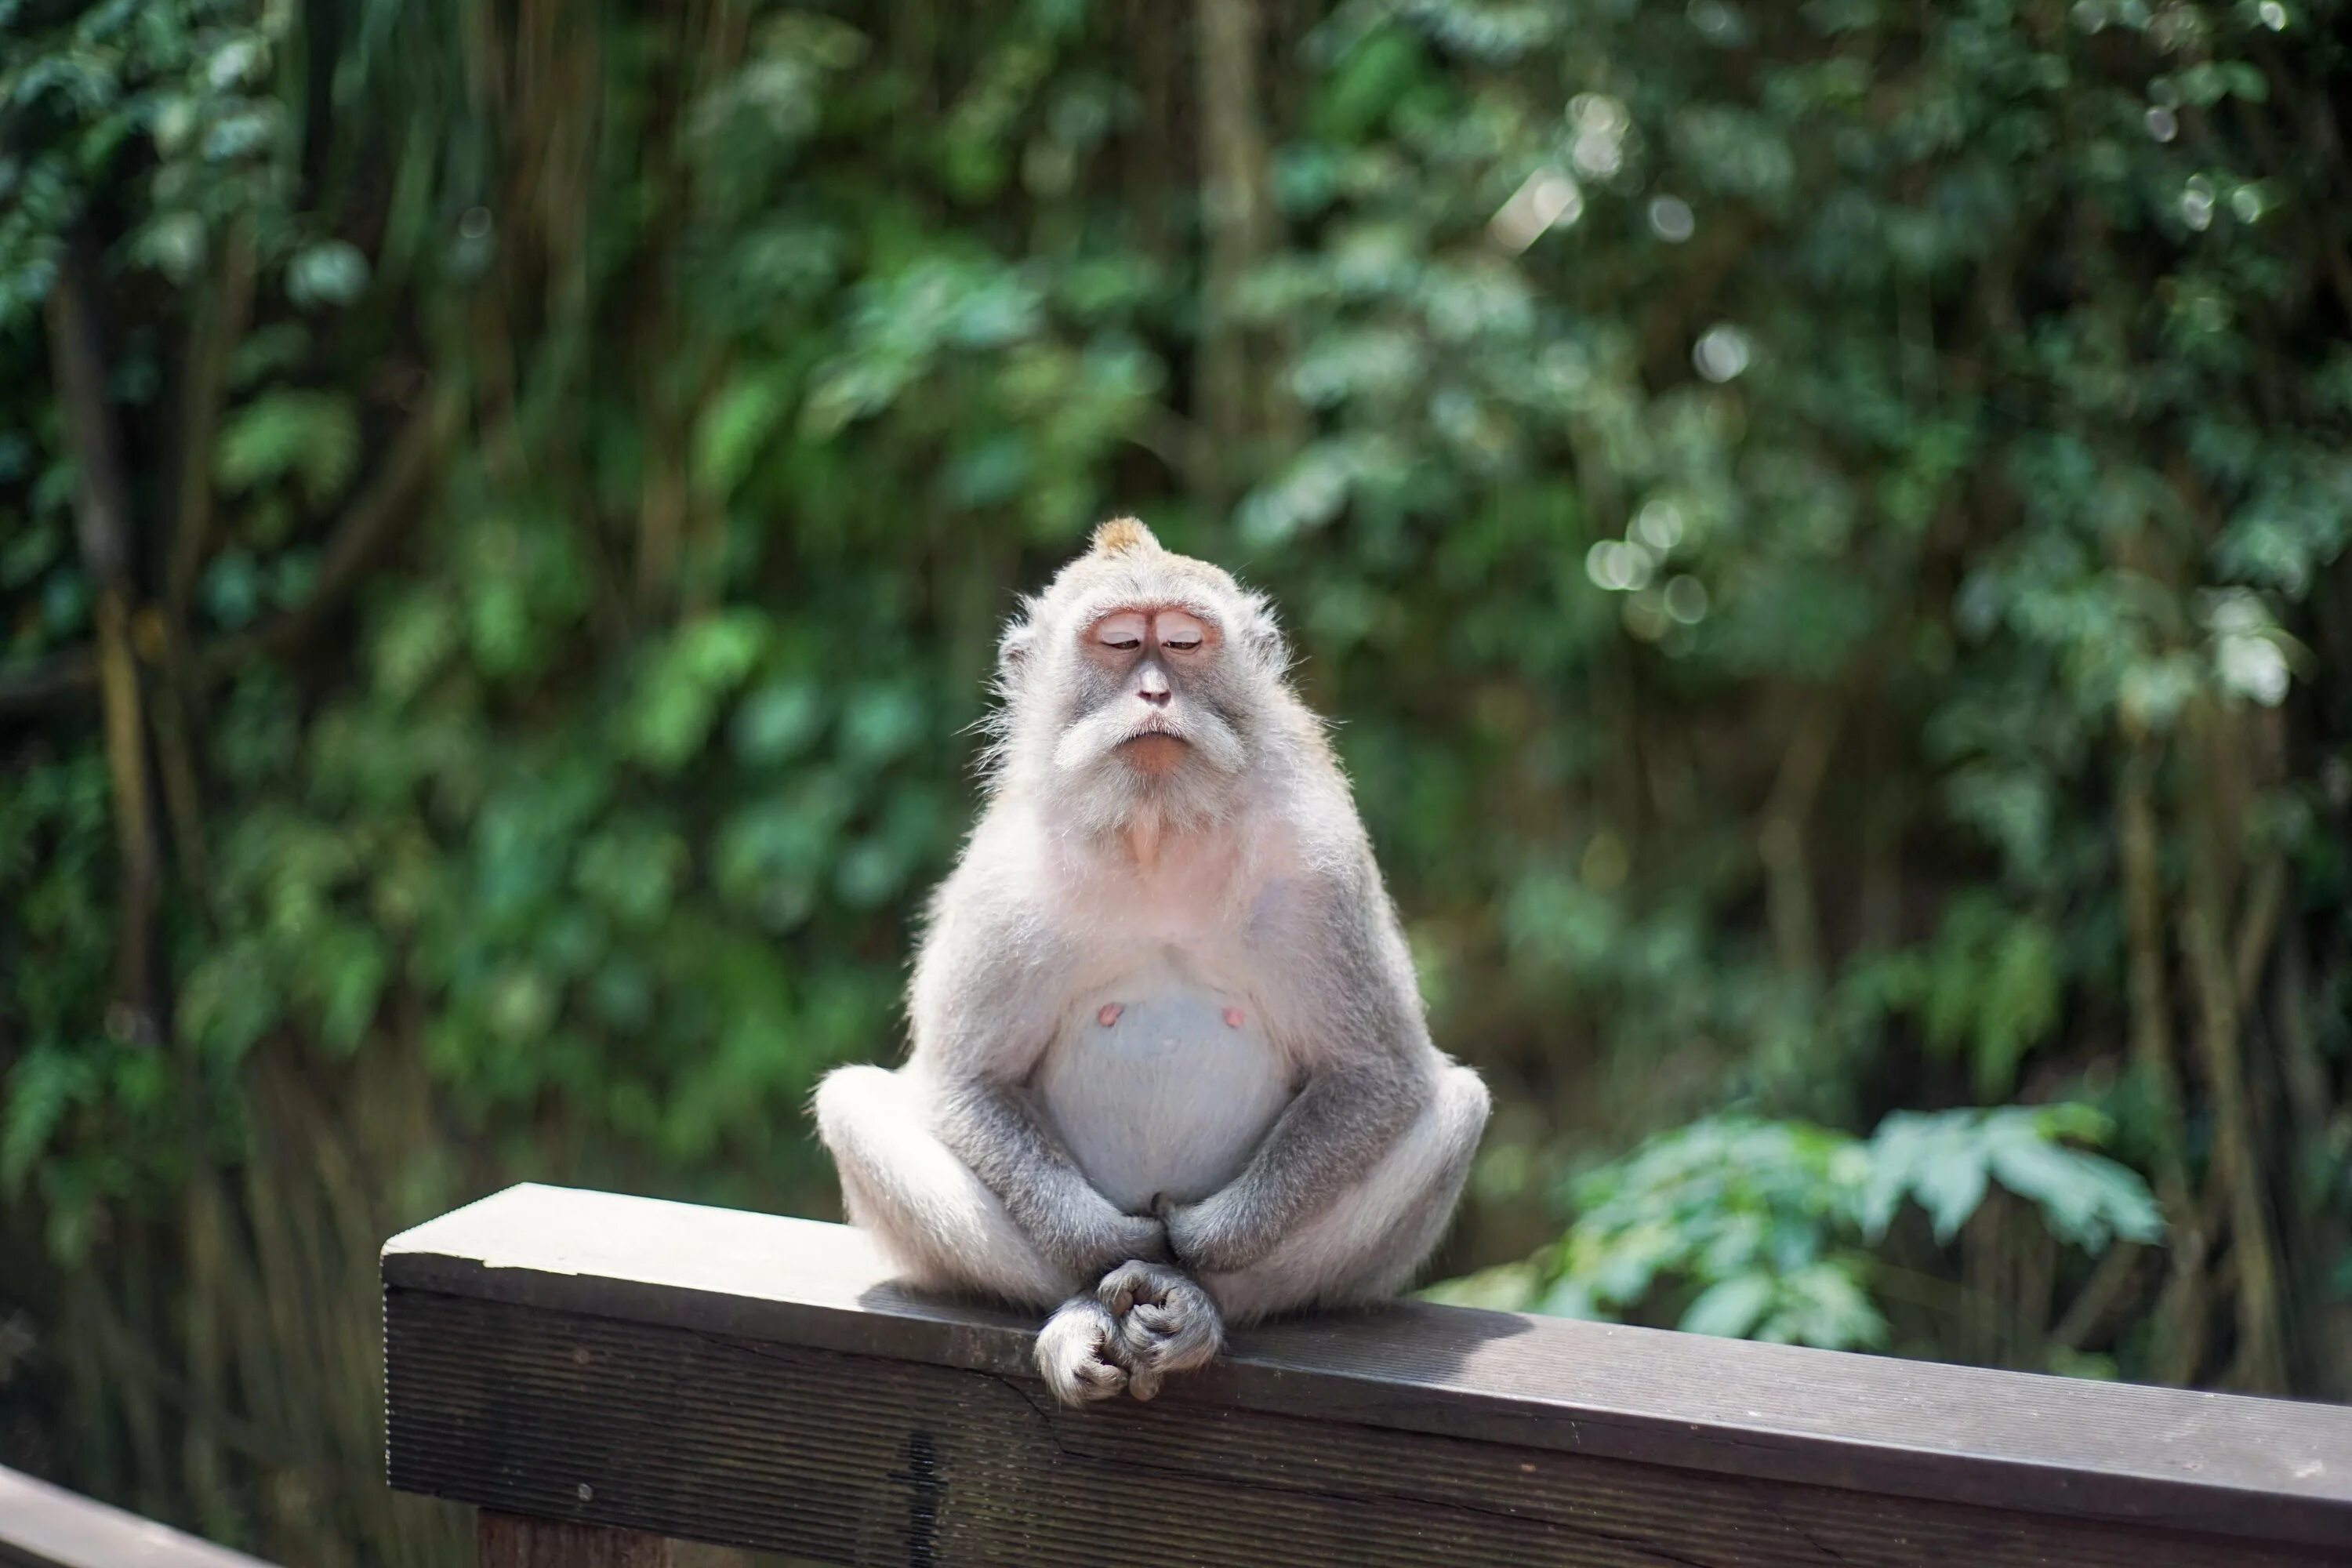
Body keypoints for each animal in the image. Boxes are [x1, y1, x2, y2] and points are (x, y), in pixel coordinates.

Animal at [818, 517, 1486, 1410]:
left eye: (1182, 642)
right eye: (1118, 643)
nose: (1154, 695)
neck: (1157, 834)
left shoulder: (1322, 864)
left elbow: (1376, 1074)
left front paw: (1201, 1236)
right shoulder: (1002, 881)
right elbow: (965, 1080)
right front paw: (1106, 1236)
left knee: (1458, 1107)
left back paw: (1195, 1303)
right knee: (854, 1106)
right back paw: (1078, 1304)